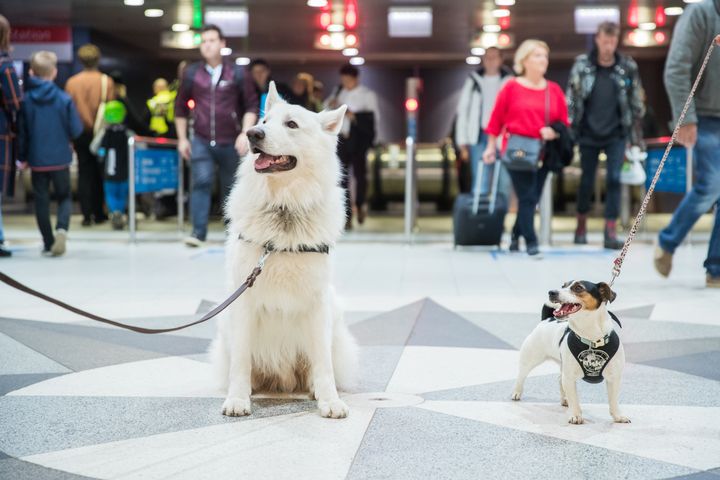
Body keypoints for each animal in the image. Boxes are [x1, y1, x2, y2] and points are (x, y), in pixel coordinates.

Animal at [214, 81, 360, 416]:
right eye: (265, 122)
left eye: (291, 124)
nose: (252, 133)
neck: (284, 210)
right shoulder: (243, 301)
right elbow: (241, 360)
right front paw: (238, 398)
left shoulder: (318, 302)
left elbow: (323, 363)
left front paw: (330, 400)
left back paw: (314, 389)